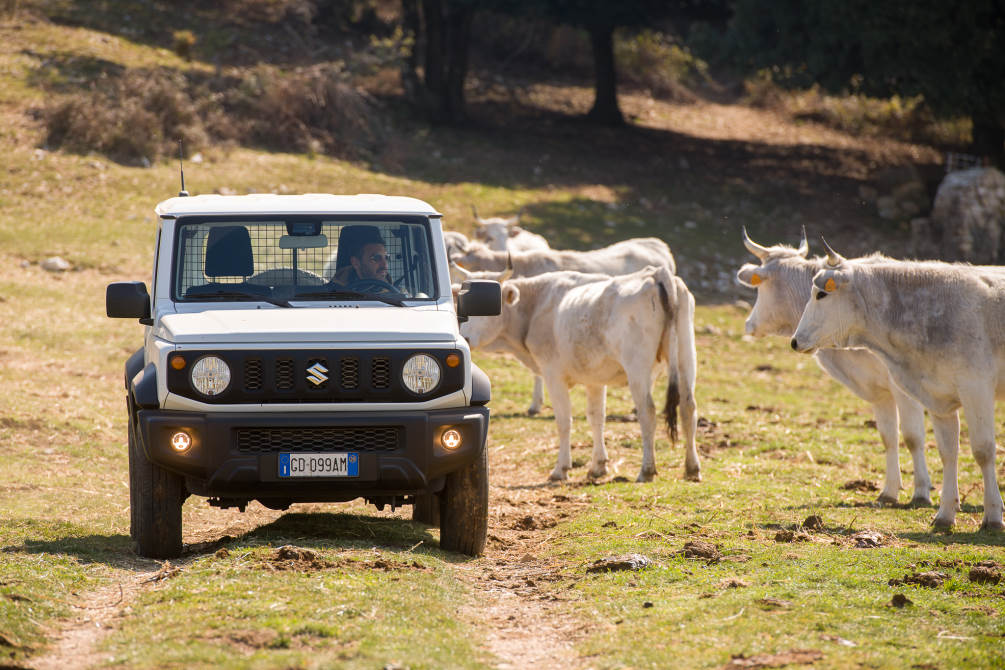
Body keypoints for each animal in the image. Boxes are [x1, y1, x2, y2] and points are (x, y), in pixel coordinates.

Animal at [791, 244, 1005, 530]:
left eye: (821, 294)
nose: (795, 341)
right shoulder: (938, 398)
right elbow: (948, 452)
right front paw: (945, 513)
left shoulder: (976, 388)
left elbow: (983, 451)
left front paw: (993, 515)